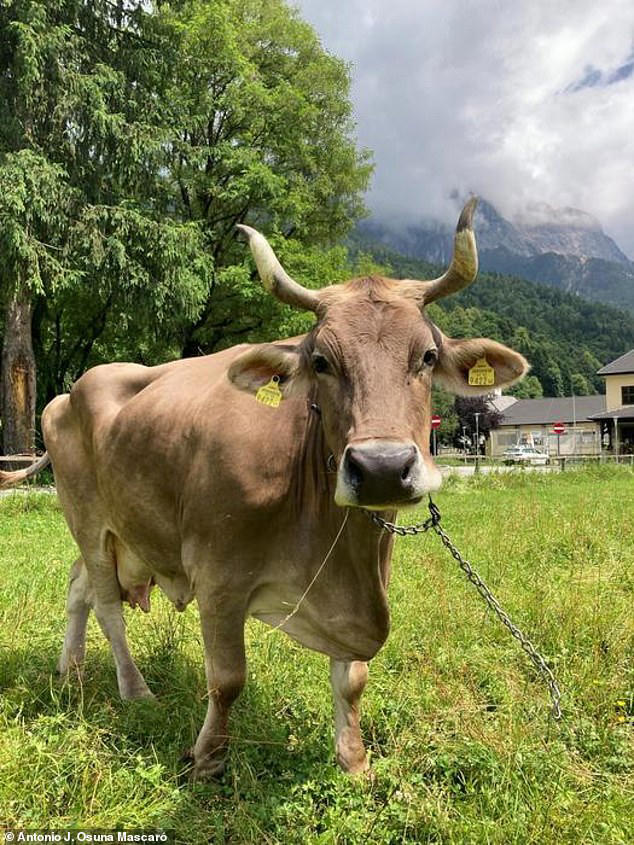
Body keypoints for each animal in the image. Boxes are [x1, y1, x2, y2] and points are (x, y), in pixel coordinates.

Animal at [0, 199, 528, 778]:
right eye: (321, 361)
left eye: (428, 357)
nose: (382, 467)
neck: (330, 538)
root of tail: (66, 394)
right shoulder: (218, 577)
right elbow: (227, 679)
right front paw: (207, 759)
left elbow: (352, 679)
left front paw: (354, 761)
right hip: (88, 517)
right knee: (106, 605)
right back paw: (134, 690)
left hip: (127, 532)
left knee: (79, 587)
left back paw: (69, 670)